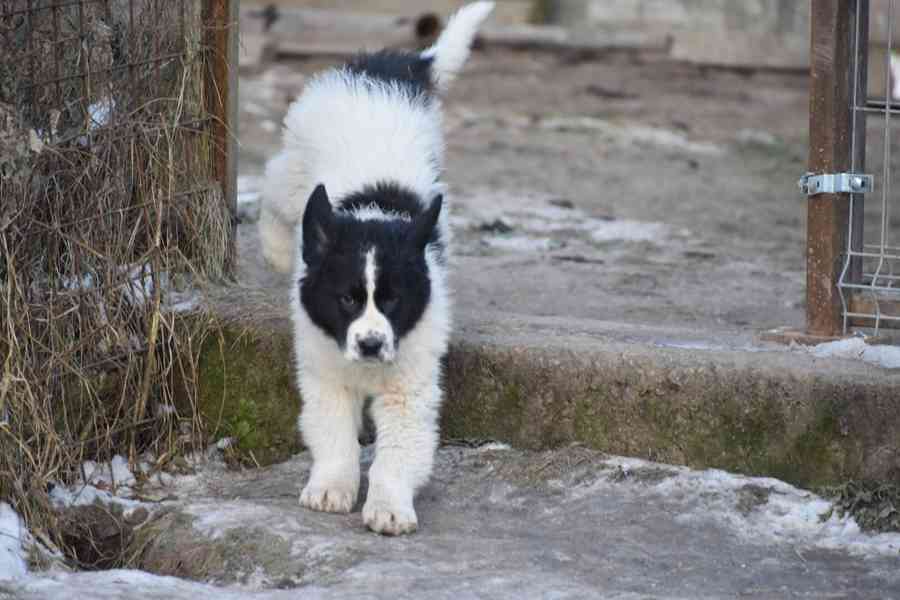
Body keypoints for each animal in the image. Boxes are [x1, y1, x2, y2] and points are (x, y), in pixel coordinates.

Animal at [256, 2, 496, 536]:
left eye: (392, 301)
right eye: (346, 299)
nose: (368, 344)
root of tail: (389, 68)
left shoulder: (410, 385)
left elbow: (398, 454)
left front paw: (389, 506)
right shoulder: (325, 373)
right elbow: (334, 436)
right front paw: (331, 487)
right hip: (295, 165)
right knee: (273, 191)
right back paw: (277, 247)